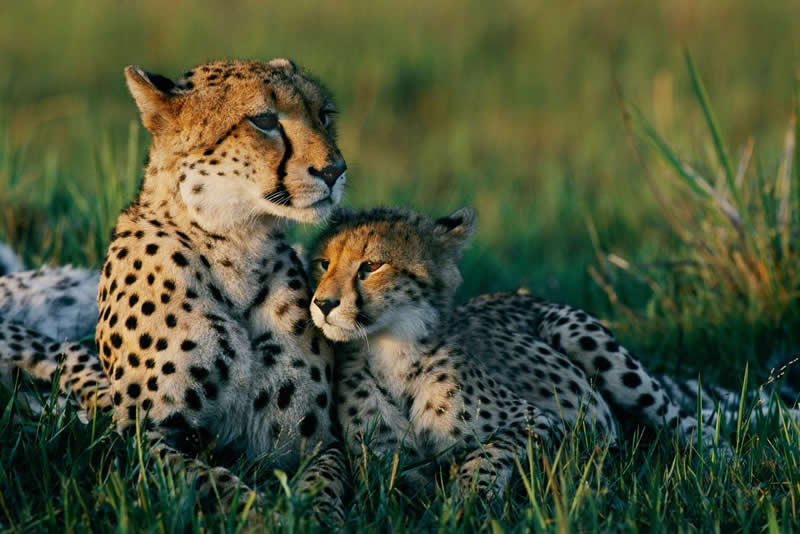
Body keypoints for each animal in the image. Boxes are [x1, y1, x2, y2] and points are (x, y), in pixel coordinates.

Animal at [0, 58, 350, 524]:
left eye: (324, 115)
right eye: (263, 120)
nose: (334, 171)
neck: (238, 246)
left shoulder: (315, 440)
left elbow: (326, 484)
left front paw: (311, 515)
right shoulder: (142, 439)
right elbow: (211, 481)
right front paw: (264, 516)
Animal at [305, 206, 789, 497]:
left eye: (371, 266)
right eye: (323, 263)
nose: (323, 304)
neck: (390, 351)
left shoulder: (544, 423)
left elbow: (489, 453)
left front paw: (466, 499)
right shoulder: (382, 468)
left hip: (589, 343)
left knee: (688, 423)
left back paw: (729, 467)